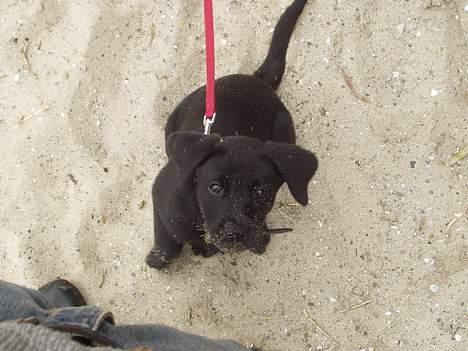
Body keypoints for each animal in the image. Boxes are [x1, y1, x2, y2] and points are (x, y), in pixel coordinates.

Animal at [146, 0, 318, 270]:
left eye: (261, 192)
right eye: (215, 188)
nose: (234, 233)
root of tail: (257, 80)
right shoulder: (161, 195)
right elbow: (167, 243)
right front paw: (158, 257)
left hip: (285, 130)